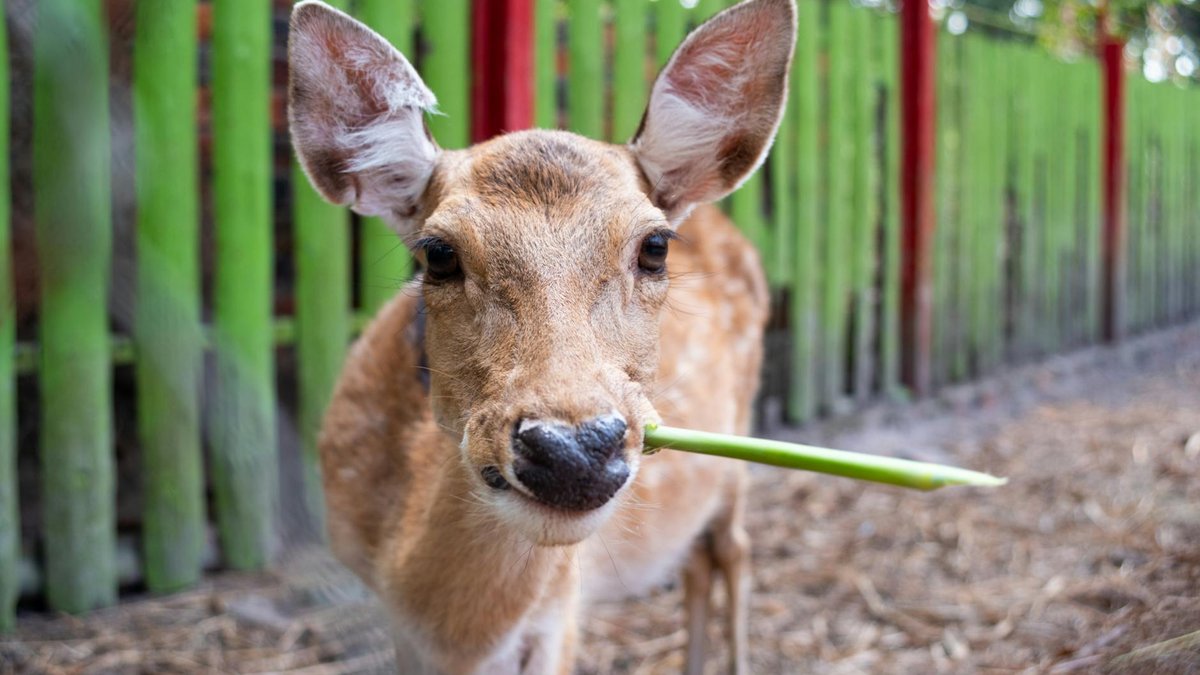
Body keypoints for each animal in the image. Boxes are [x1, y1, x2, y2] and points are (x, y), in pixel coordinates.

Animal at [287, 0, 795, 672]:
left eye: (655, 246)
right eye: (438, 253)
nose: (573, 451)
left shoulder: (562, 606)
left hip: (739, 440)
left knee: (732, 548)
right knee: (695, 558)